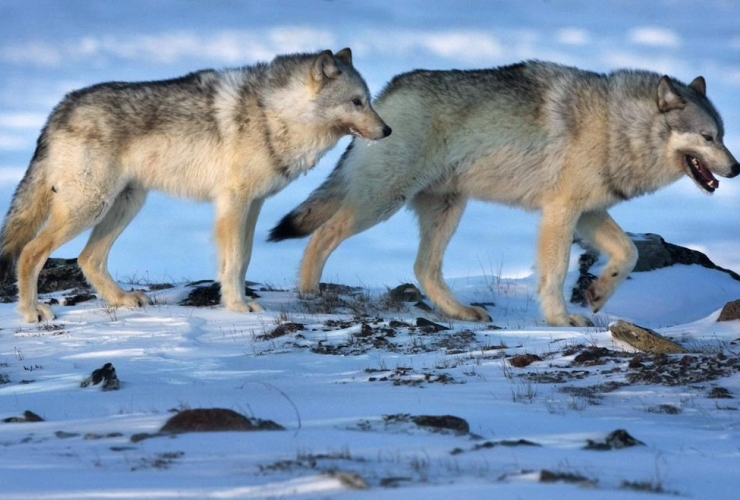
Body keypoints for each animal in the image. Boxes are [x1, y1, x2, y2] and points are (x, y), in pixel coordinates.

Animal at [0, 48, 390, 322]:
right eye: (356, 101)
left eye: (369, 100)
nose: (387, 131)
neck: (274, 114)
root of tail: (58, 109)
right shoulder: (234, 202)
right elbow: (234, 261)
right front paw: (238, 307)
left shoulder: (253, 204)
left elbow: (244, 259)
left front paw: (236, 302)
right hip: (91, 207)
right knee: (31, 252)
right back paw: (32, 313)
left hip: (126, 204)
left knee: (88, 258)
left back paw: (123, 299)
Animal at [268, 60, 736, 326]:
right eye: (707, 137)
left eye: (723, 136)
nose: (736, 168)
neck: (615, 128)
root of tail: (383, 94)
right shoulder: (560, 212)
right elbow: (555, 273)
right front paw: (561, 320)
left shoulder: (588, 213)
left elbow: (629, 253)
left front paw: (599, 294)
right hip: (382, 201)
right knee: (323, 235)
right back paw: (309, 292)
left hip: (447, 209)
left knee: (423, 268)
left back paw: (460, 312)